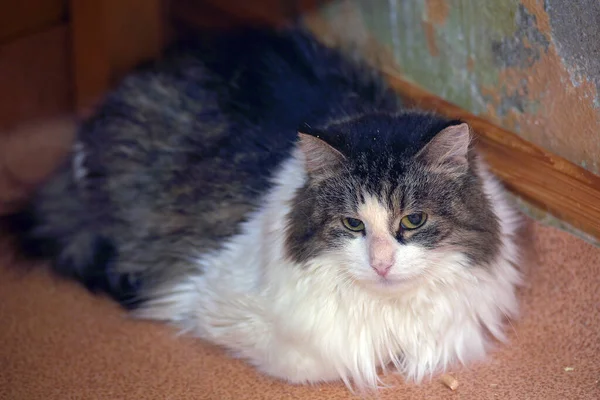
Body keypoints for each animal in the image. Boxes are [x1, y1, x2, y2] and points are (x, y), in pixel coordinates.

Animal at [3, 25, 520, 390]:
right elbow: (336, 358)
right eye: (352, 224)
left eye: (413, 220)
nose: (381, 264)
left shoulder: (456, 328)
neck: (390, 308)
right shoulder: (219, 303)